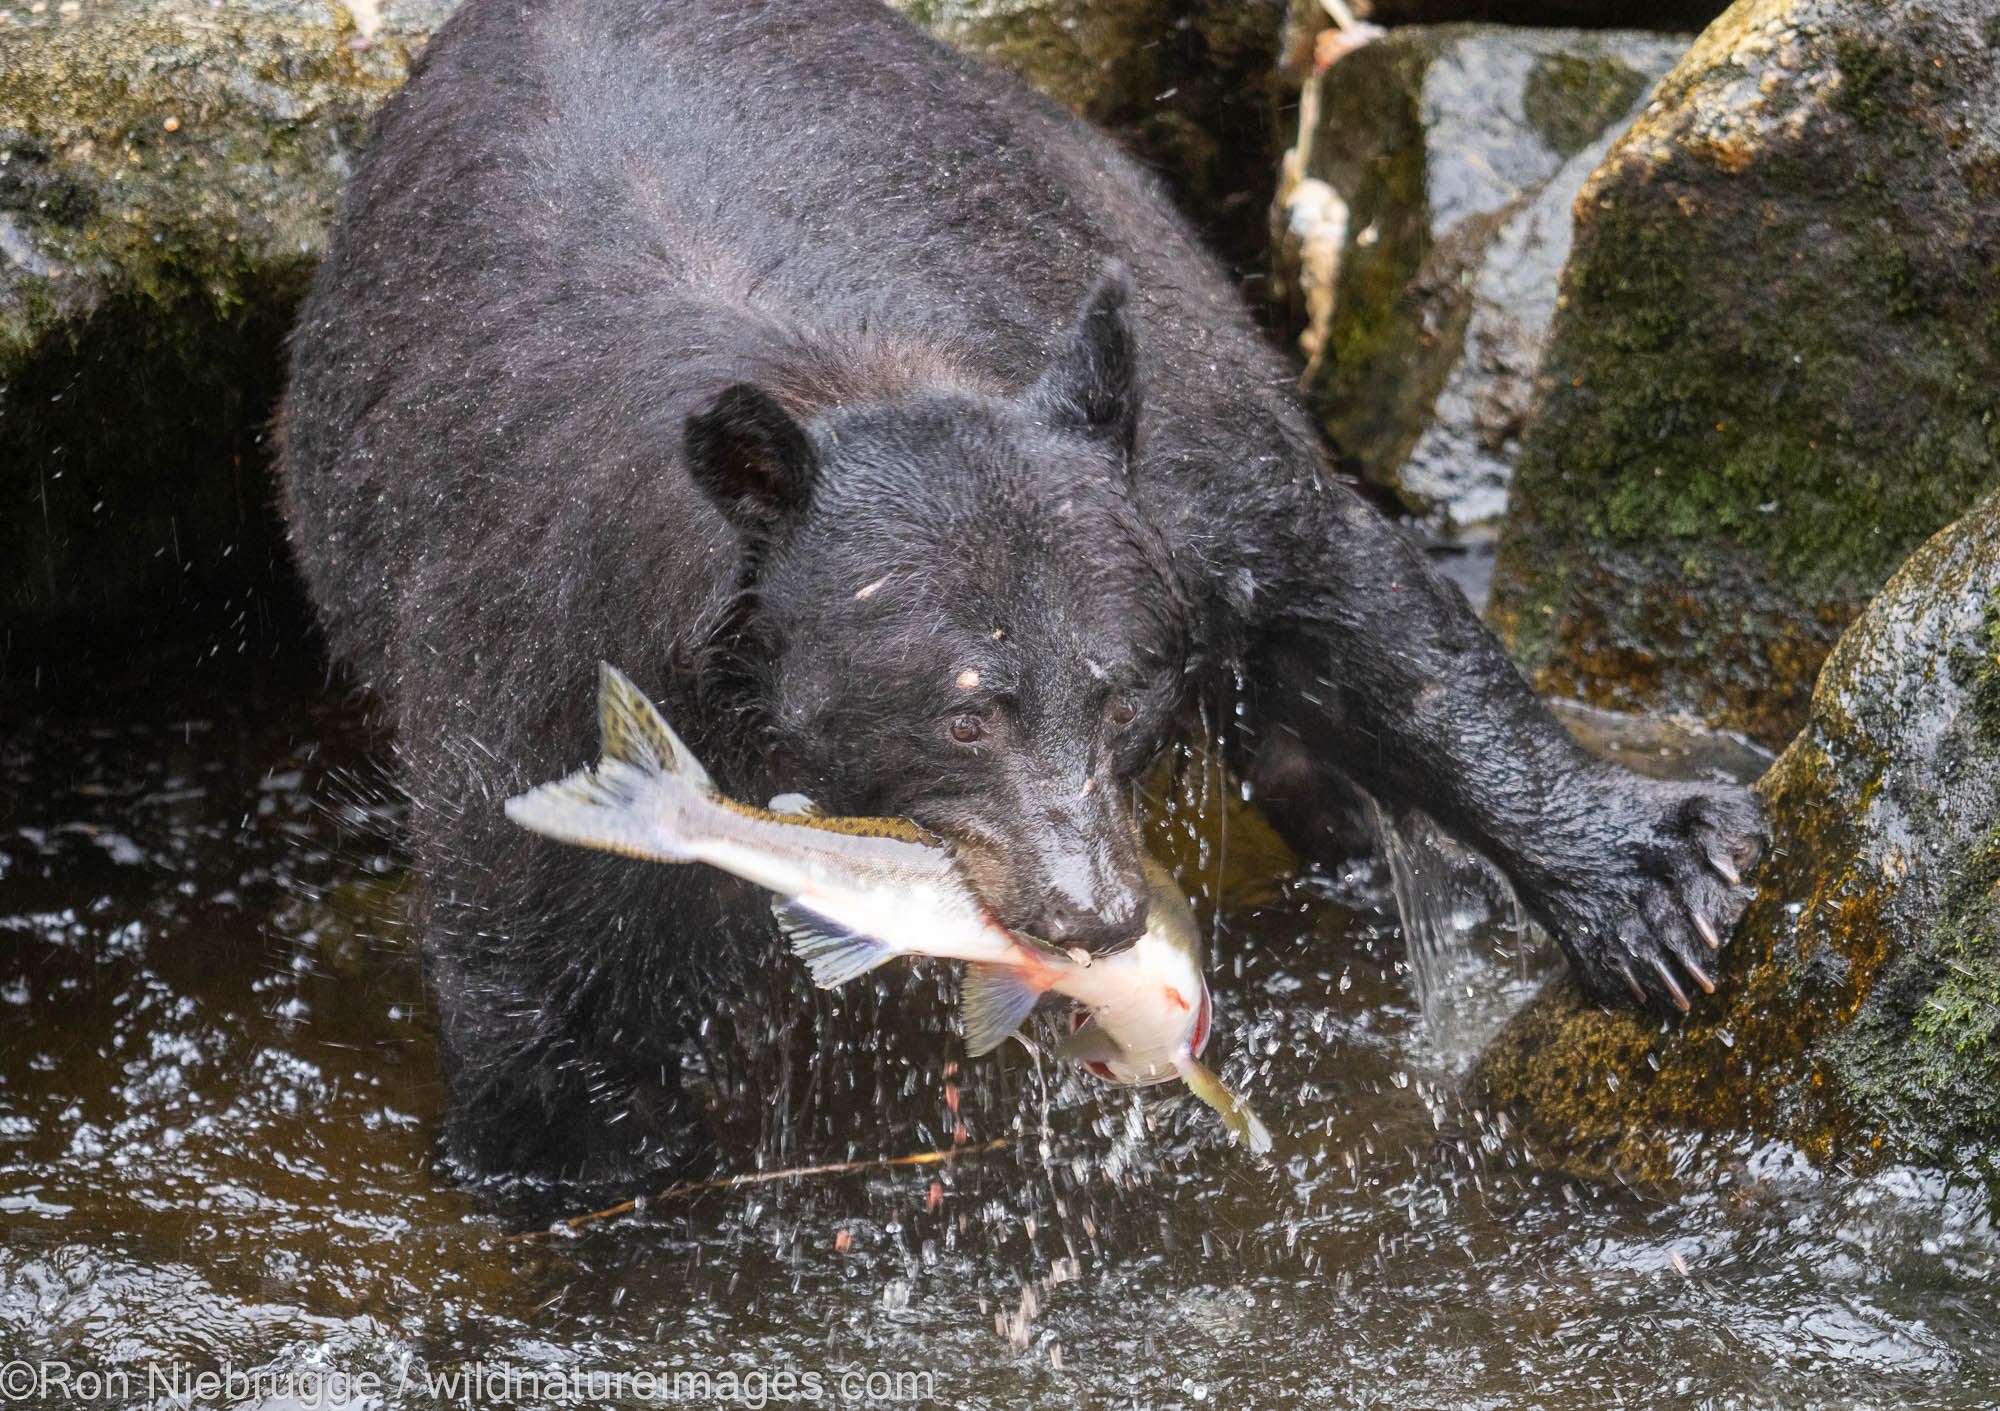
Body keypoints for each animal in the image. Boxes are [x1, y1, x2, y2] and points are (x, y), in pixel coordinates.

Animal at [278, 0, 1768, 1183]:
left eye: (1121, 695)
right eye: (960, 713)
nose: (1093, 912)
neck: (853, 370)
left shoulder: (1172, 470)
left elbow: (1354, 607)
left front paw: (1656, 870)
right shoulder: (545, 628)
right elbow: (541, 941)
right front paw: (576, 1151)